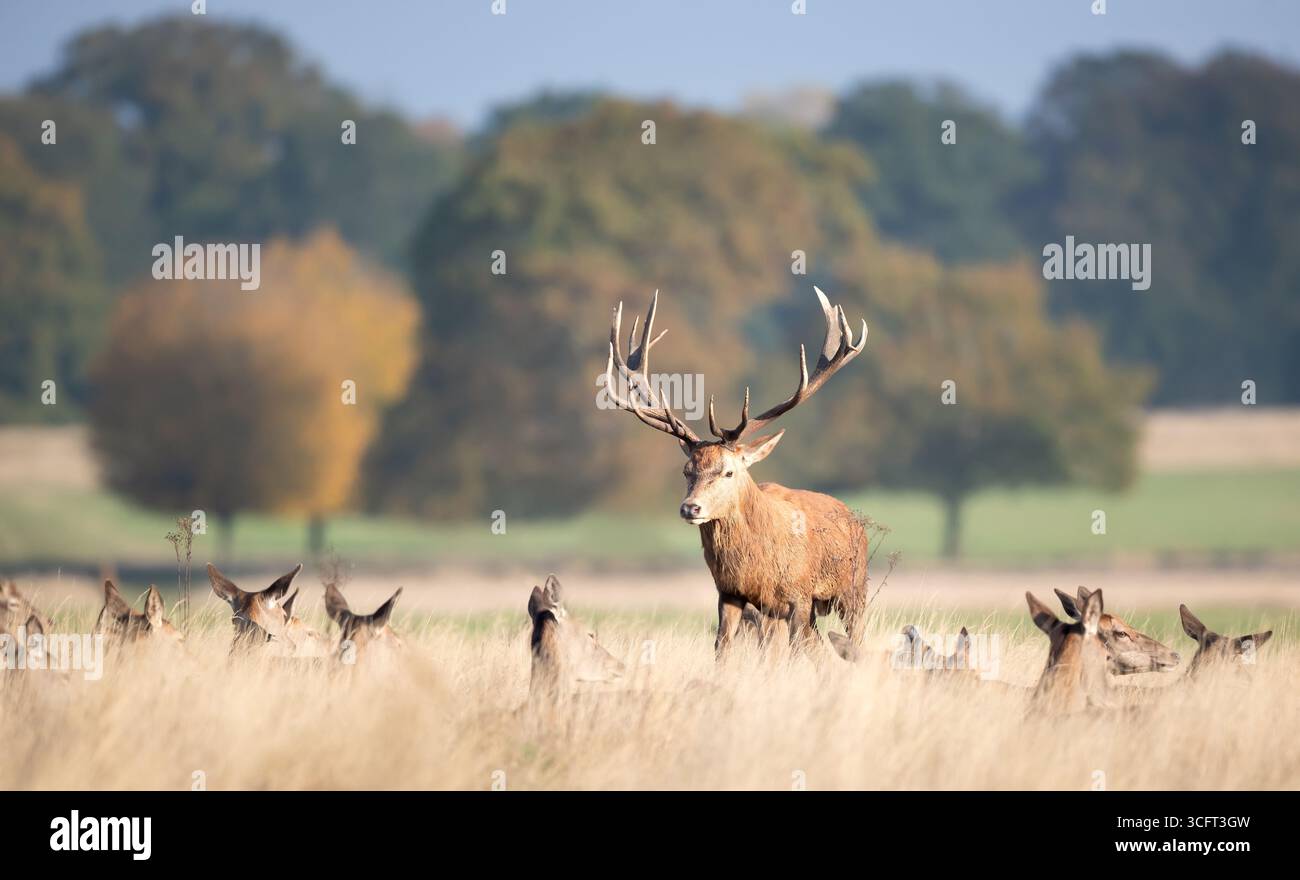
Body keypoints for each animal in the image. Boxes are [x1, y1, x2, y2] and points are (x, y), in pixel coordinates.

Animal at [604, 287, 870, 657]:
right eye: (686, 470)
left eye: (728, 471)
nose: (691, 508)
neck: (755, 567)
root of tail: (853, 518)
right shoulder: (728, 594)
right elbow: (723, 648)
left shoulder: (798, 595)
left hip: (853, 590)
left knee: (851, 639)